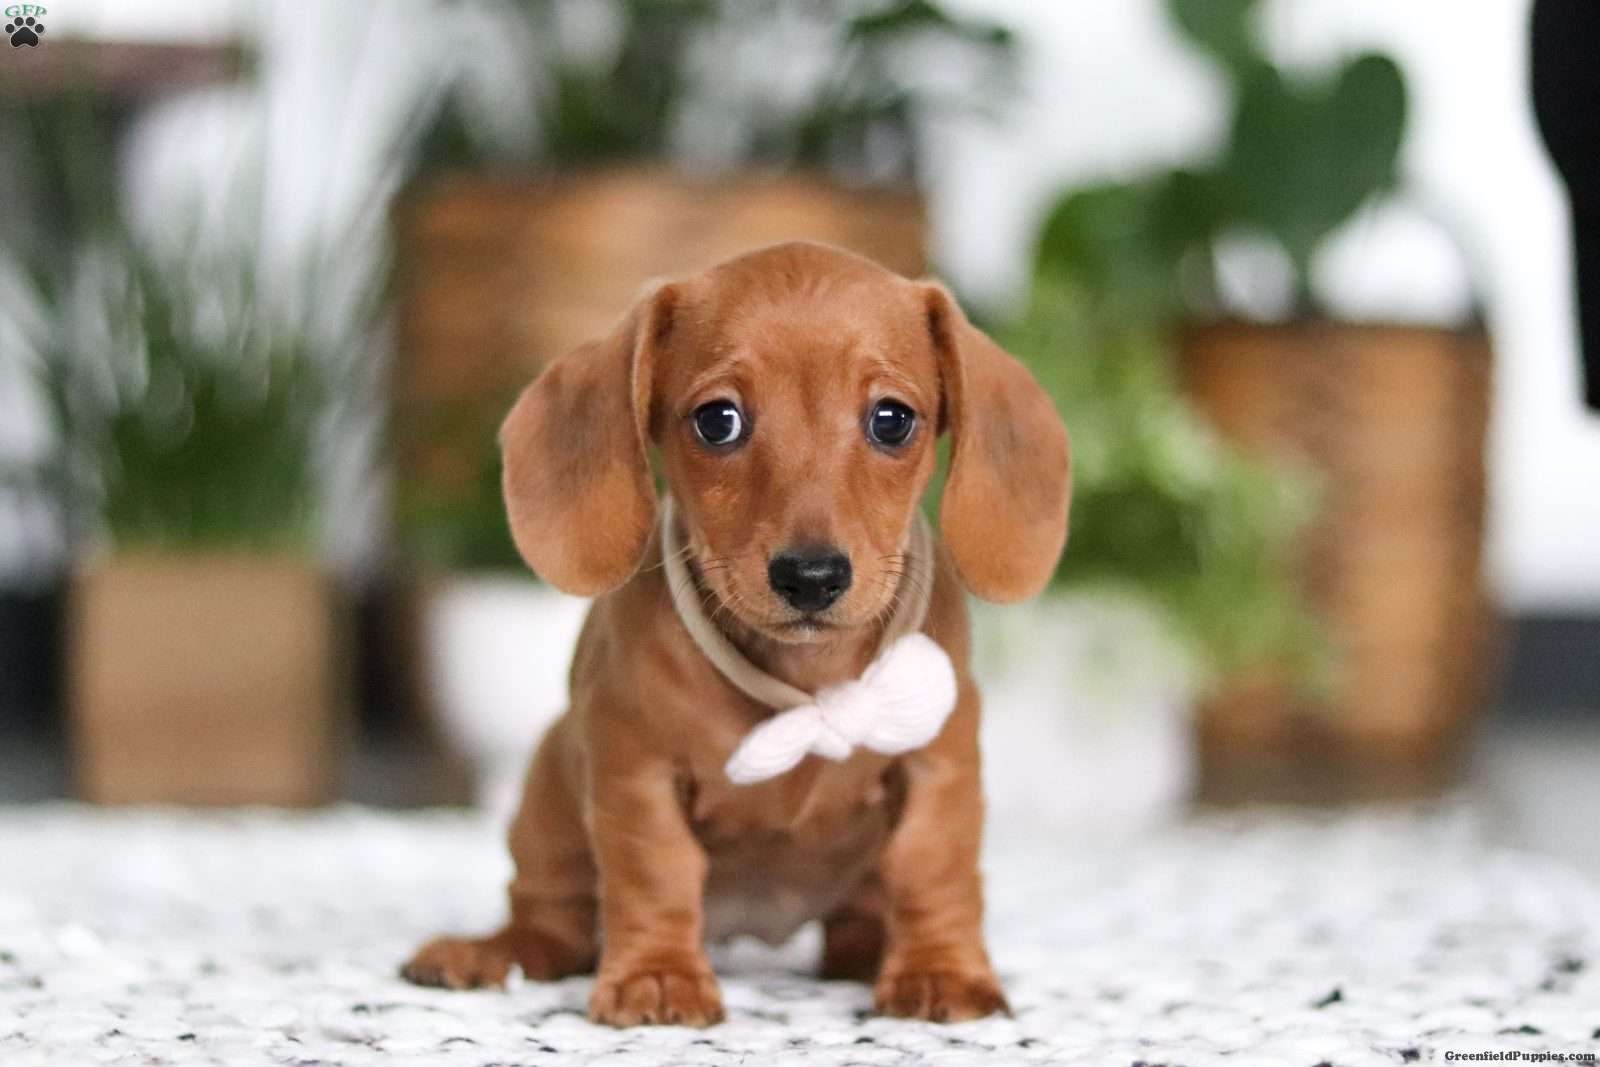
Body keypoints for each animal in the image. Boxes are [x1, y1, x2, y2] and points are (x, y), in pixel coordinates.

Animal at [401, 241, 1070, 1027]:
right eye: (718, 419)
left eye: (892, 420)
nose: (811, 576)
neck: (805, 681)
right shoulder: (635, 770)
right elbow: (656, 870)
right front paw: (659, 975)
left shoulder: (941, 762)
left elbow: (931, 865)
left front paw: (941, 969)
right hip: (548, 792)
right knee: (551, 923)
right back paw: (485, 953)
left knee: (859, 921)